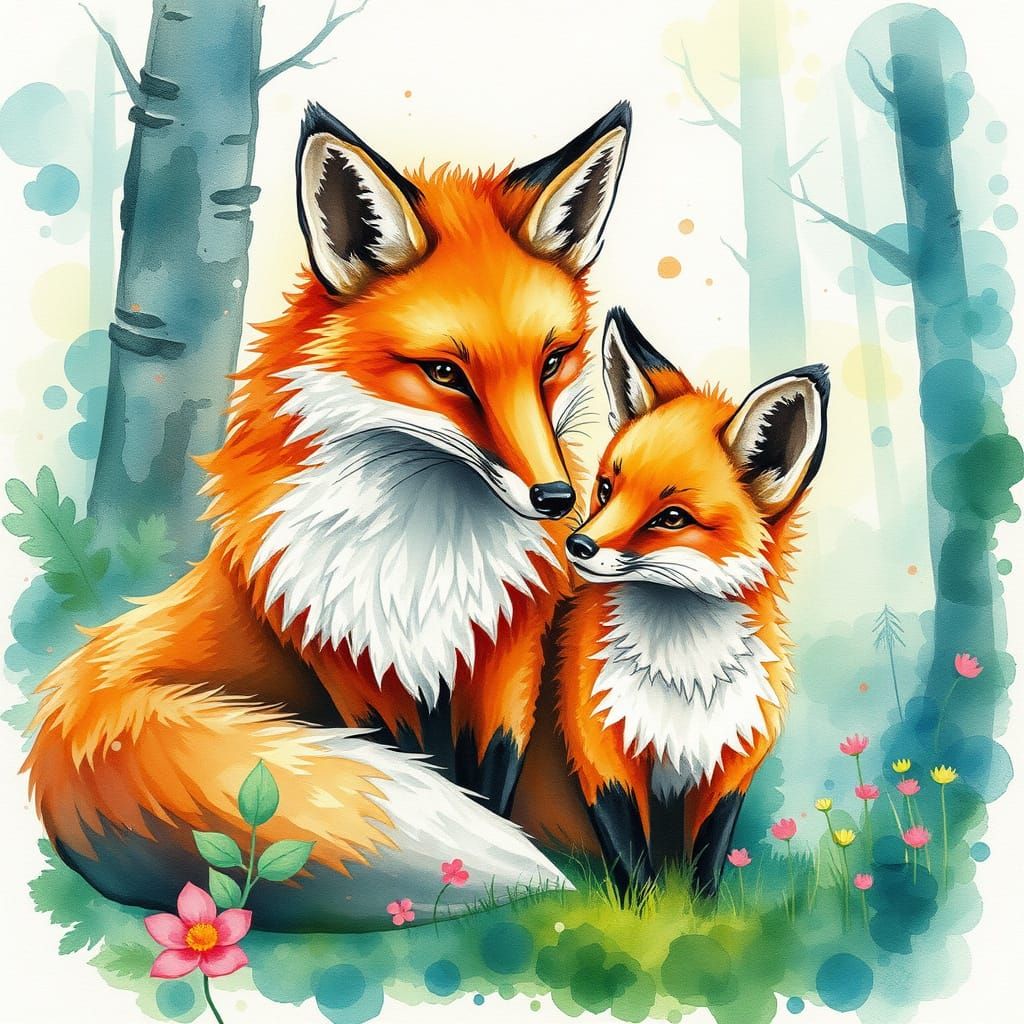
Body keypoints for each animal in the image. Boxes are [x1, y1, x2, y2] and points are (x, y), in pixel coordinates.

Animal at [23, 101, 633, 930]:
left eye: (552, 361)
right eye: (445, 372)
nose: (556, 501)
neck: (424, 563)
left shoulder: (508, 655)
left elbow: (492, 780)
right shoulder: (346, 658)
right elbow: (431, 767)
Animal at [552, 307, 829, 898]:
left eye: (672, 517)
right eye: (606, 489)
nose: (578, 546)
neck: (682, 676)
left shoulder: (728, 766)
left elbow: (706, 870)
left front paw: (697, 915)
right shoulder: (600, 756)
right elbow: (636, 874)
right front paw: (649, 918)